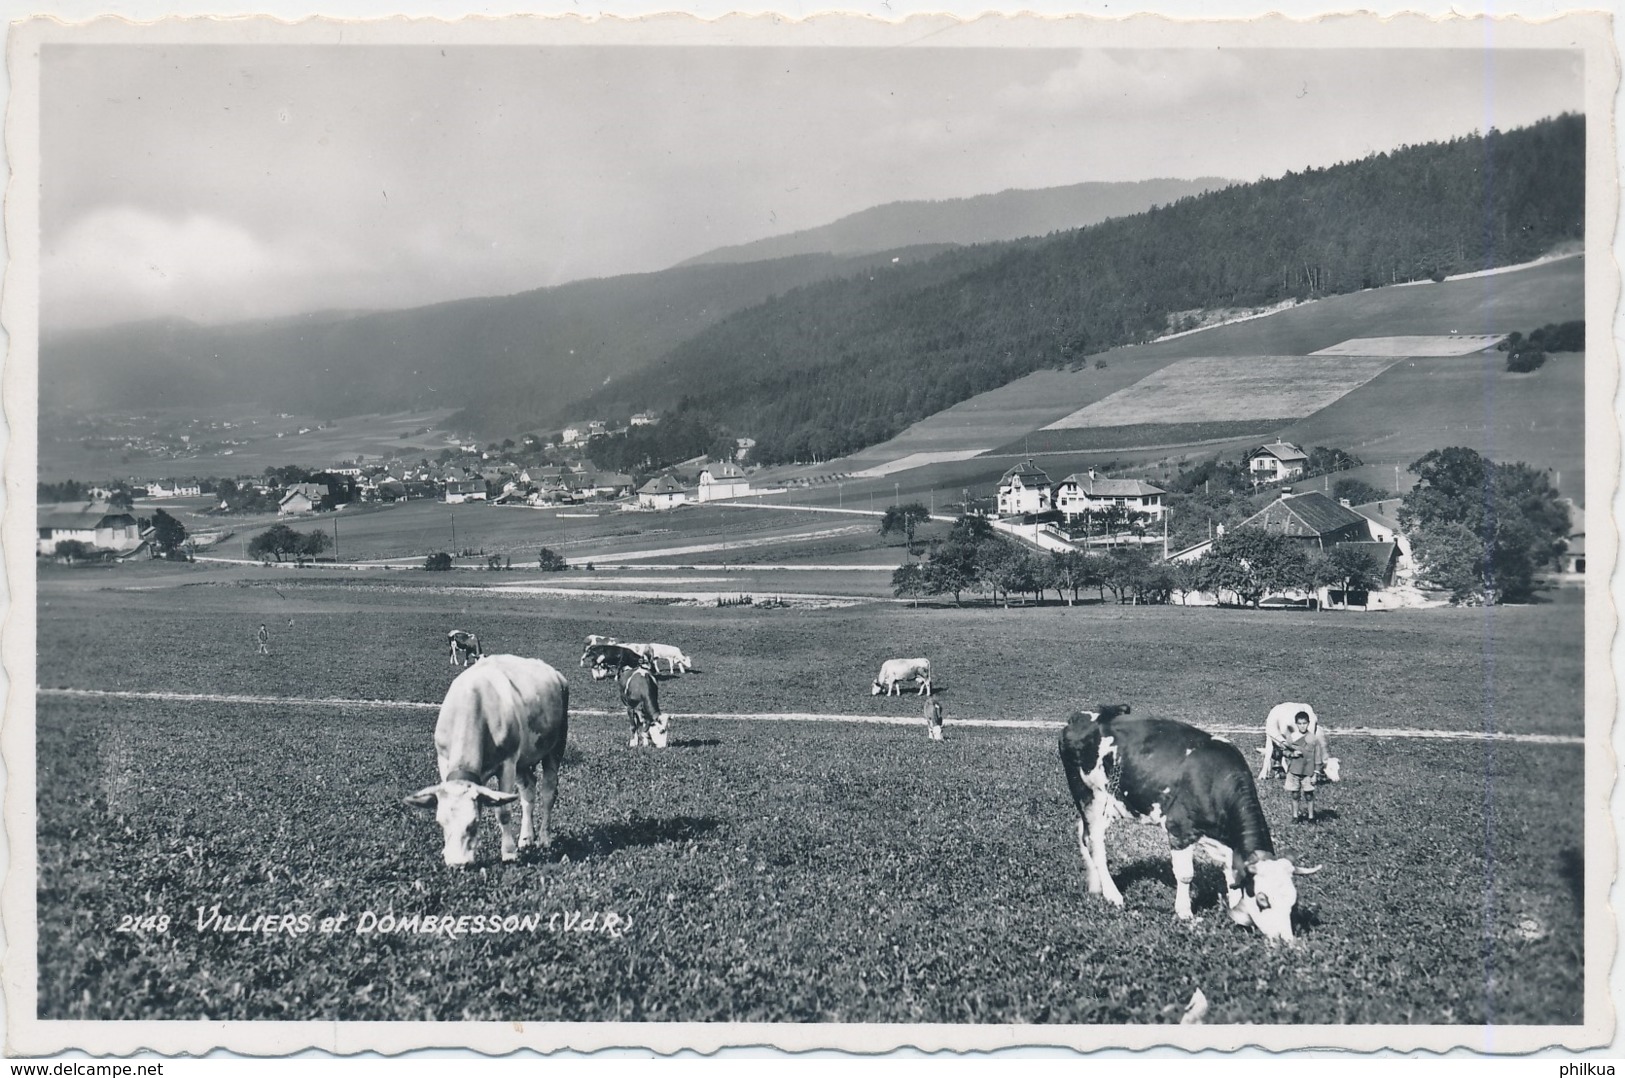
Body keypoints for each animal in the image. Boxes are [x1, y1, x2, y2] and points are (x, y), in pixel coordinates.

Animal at [406, 650, 572, 871]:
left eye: (473, 823)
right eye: (440, 823)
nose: (457, 864)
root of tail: (556, 674)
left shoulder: (507, 764)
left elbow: (503, 811)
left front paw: (508, 852)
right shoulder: (443, 760)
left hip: (556, 746)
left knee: (548, 793)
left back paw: (545, 837)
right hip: (523, 758)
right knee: (528, 791)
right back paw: (526, 837)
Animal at [1066, 705, 1319, 943]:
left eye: (1293, 902)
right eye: (1262, 900)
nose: (1285, 940)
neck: (1214, 780)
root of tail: (1081, 716)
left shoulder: (1225, 842)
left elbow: (1232, 876)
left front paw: (1234, 909)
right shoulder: (1179, 829)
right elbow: (1185, 875)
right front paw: (1184, 912)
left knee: (1083, 836)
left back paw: (1095, 886)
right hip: (1092, 797)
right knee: (1096, 845)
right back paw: (1112, 894)